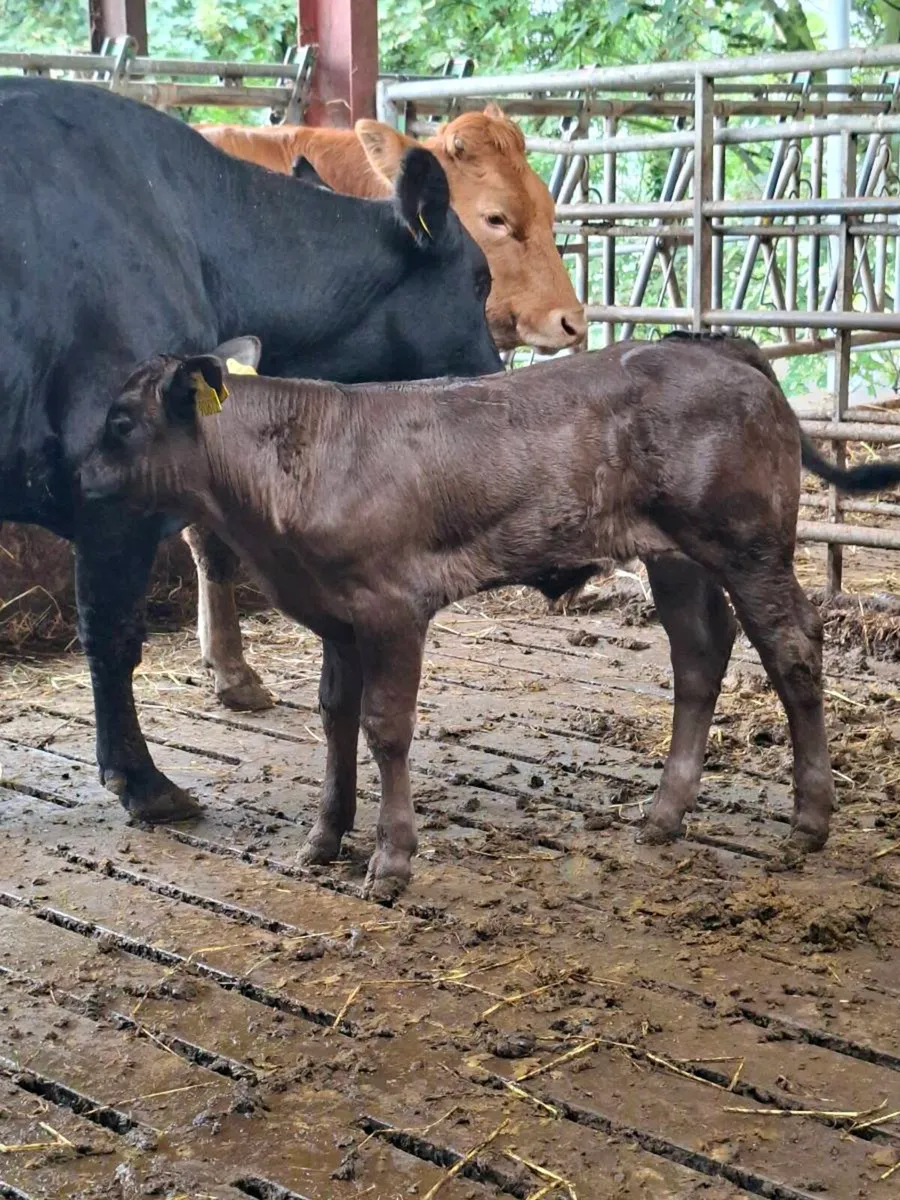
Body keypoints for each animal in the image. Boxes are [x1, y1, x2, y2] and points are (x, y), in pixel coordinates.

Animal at [78, 332, 900, 898]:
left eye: (120, 422)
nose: (68, 474)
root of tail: (715, 345)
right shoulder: (336, 614)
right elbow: (335, 717)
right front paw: (323, 837)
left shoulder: (391, 606)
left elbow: (384, 728)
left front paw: (391, 859)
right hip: (675, 555)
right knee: (699, 655)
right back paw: (664, 814)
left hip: (749, 544)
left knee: (793, 648)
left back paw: (809, 819)